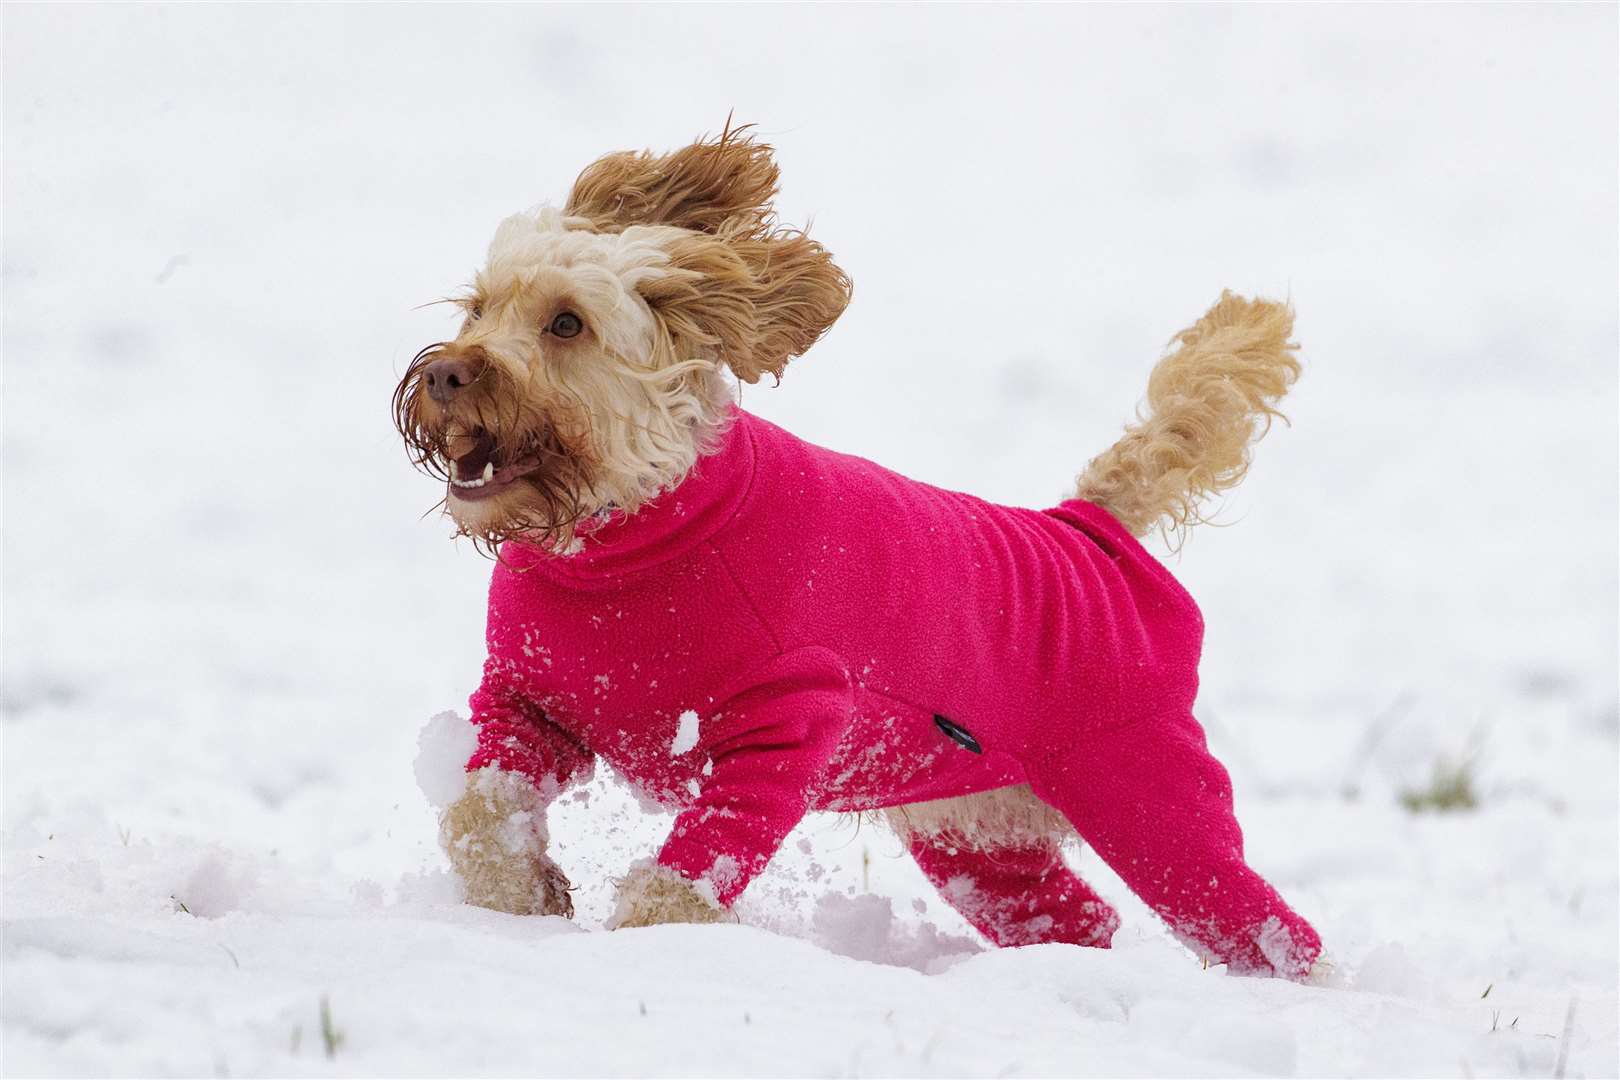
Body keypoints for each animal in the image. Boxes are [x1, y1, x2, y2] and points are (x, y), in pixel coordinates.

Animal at [398, 124, 1321, 977]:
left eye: (567, 323)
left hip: (1151, 799)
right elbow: (478, 807)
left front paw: (650, 946)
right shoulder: (526, 700)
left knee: (1270, 930)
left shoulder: (786, 724)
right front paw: (521, 901)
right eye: (476, 308)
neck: (625, 542)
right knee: (1072, 914)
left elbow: (685, 877)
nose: (445, 374)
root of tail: (1087, 525)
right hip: (977, 838)